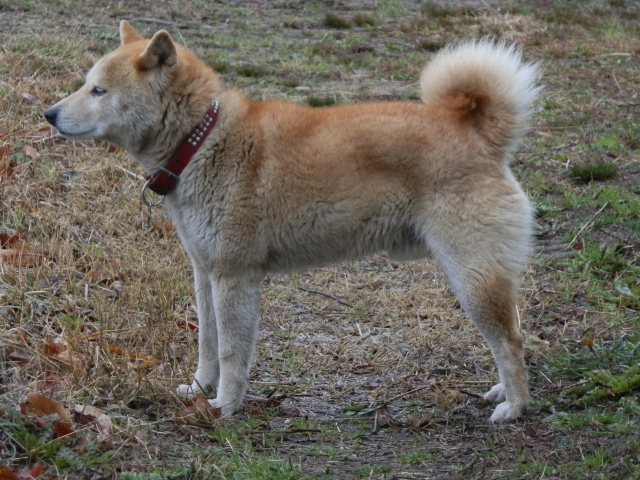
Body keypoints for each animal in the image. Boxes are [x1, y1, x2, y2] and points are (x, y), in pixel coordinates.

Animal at [43, 20, 540, 422]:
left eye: (99, 91)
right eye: (86, 85)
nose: (48, 113)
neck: (202, 140)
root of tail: (474, 129)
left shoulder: (234, 277)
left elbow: (231, 352)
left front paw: (224, 406)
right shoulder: (205, 273)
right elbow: (207, 344)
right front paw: (200, 390)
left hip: (471, 277)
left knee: (511, 340)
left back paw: (515, 406)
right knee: (510, 333)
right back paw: (501, 392)